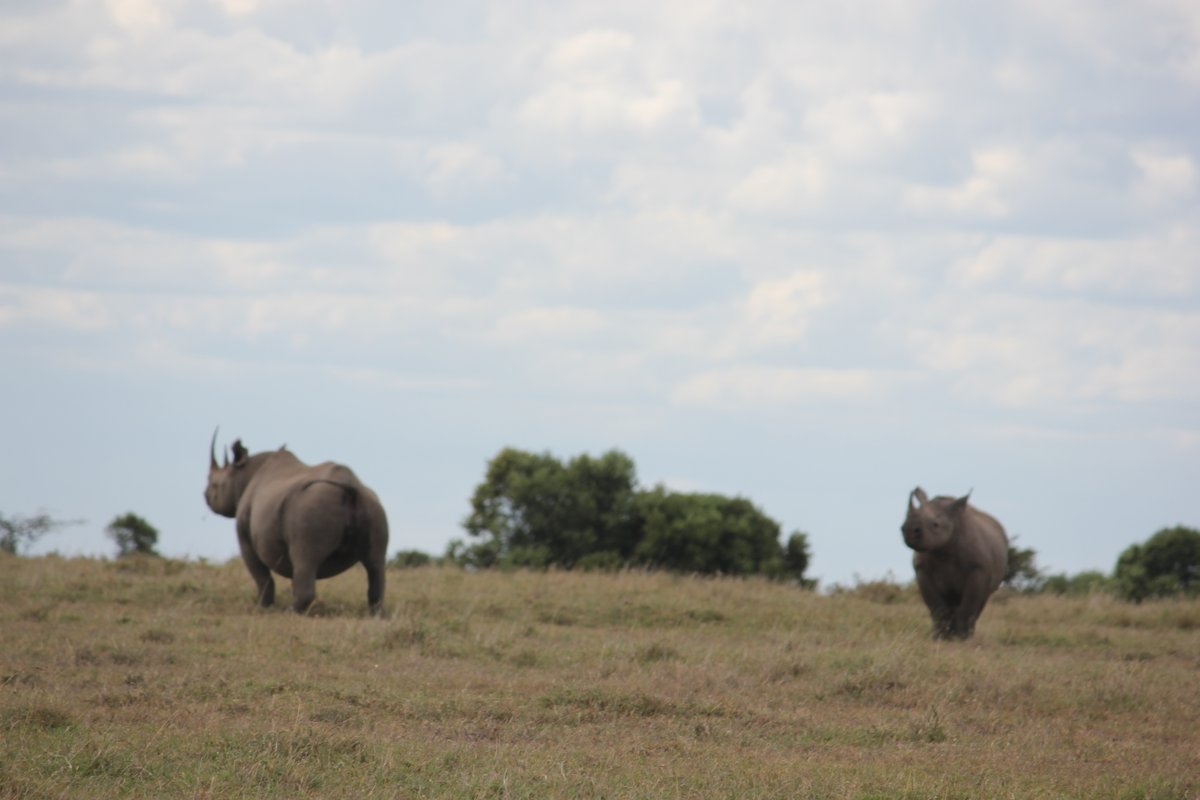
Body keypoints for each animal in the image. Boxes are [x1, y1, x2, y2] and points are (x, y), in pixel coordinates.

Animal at [204, 431, 386, 614]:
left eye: (214, 485)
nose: (205, 495)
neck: (243, 474)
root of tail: (350, 487)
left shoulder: (244, 534)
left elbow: (261, 576)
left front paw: (261, 608)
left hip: (311, 507)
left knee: (305, 561)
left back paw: (290, 612)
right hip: (373, 506)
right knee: (375, 564)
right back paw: (375, 615)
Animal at [897, 484, 1008, 642]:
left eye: (935, 525)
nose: (908, 531)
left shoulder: (978, 570)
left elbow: (968, 606)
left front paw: (961, 639)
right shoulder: (922, 570)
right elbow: (937, 607)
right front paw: (940, 638)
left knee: (979, 603)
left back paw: (965, 635)